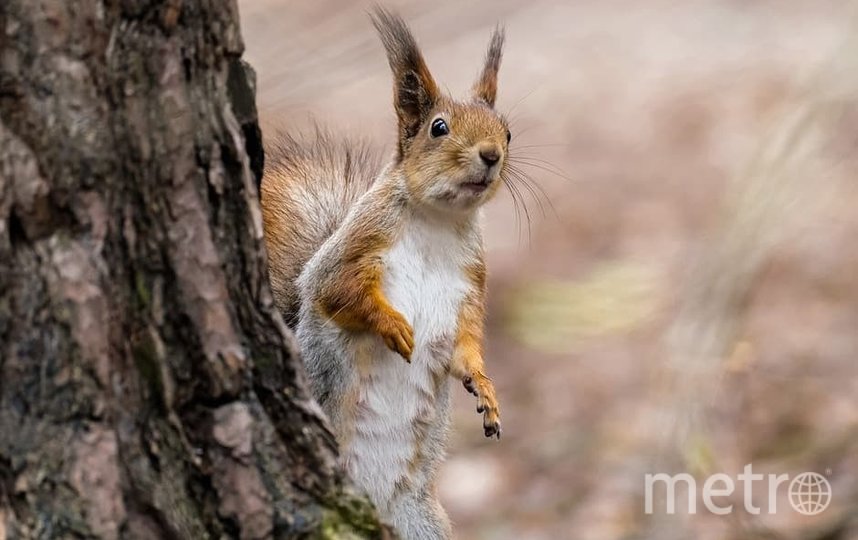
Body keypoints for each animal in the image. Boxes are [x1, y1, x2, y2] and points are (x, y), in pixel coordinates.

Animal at [260, 8, 508, 540]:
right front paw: (391, 324)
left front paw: (485, 388)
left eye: (508, 131)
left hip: (420, 523)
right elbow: (333, 292)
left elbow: (465, 346)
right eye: (438, 127)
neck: (437, 223)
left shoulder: (471, 284)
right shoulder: (353, 246)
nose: (492, 155)